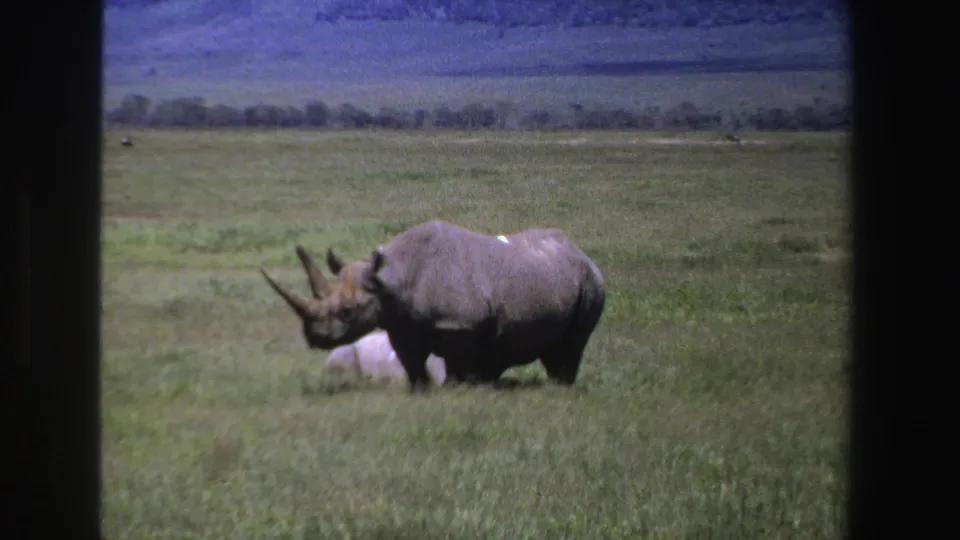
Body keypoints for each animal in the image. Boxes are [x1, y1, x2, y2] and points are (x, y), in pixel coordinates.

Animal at [260, 220, 606, 391]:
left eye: (347, 312)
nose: (314, 338)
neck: (389, 279)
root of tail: (579, 251)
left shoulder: (461, 324)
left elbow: (458, 363)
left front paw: (458, 389)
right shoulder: (401, 324)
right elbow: (412, 362)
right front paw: (420, 391)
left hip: (591, 282)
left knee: (574, 343)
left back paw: (561, 387)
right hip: (552, 274)